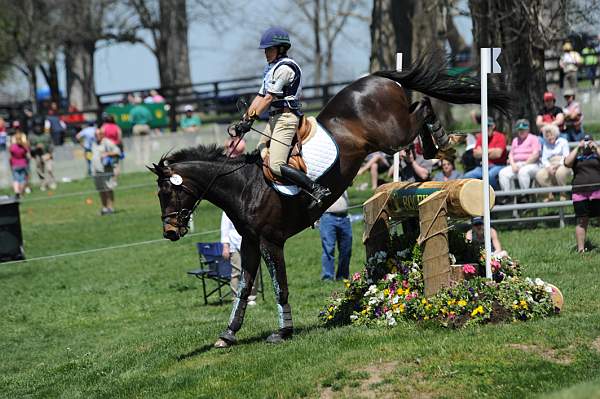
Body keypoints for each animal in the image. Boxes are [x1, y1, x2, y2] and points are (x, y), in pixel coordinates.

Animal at [148, 54, 508, 348]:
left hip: (392, 135)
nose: (170, 232)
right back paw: (439, 147)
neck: (244, 186)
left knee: (422, 107)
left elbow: (279, 287)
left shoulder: (270, 241)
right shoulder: (250, 243)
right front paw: (228, 333)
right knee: (420, 108)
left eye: (168, 192)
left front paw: (283, 331)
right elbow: (243, 289)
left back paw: (443, 143)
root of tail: (376, 77)